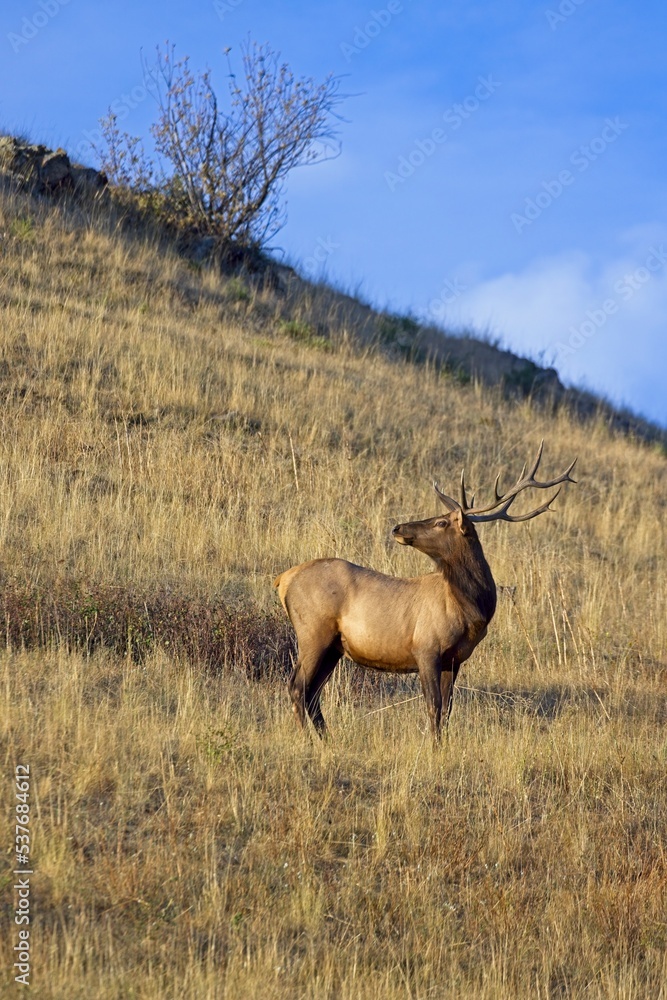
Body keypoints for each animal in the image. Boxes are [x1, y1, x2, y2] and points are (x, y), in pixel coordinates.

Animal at [274, 442, 576, 742]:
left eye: (441, 522)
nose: (398, 527)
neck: (472, 610)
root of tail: (283, 580)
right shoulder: (426, 648)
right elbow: (434, 707)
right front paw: (433, 747)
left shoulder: (454, 659)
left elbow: (447, 711)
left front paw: (442, 745)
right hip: (314, 632)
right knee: (298, 686)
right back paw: (306, 741)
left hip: (334, 646)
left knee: (313, 692)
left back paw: (327, 741)